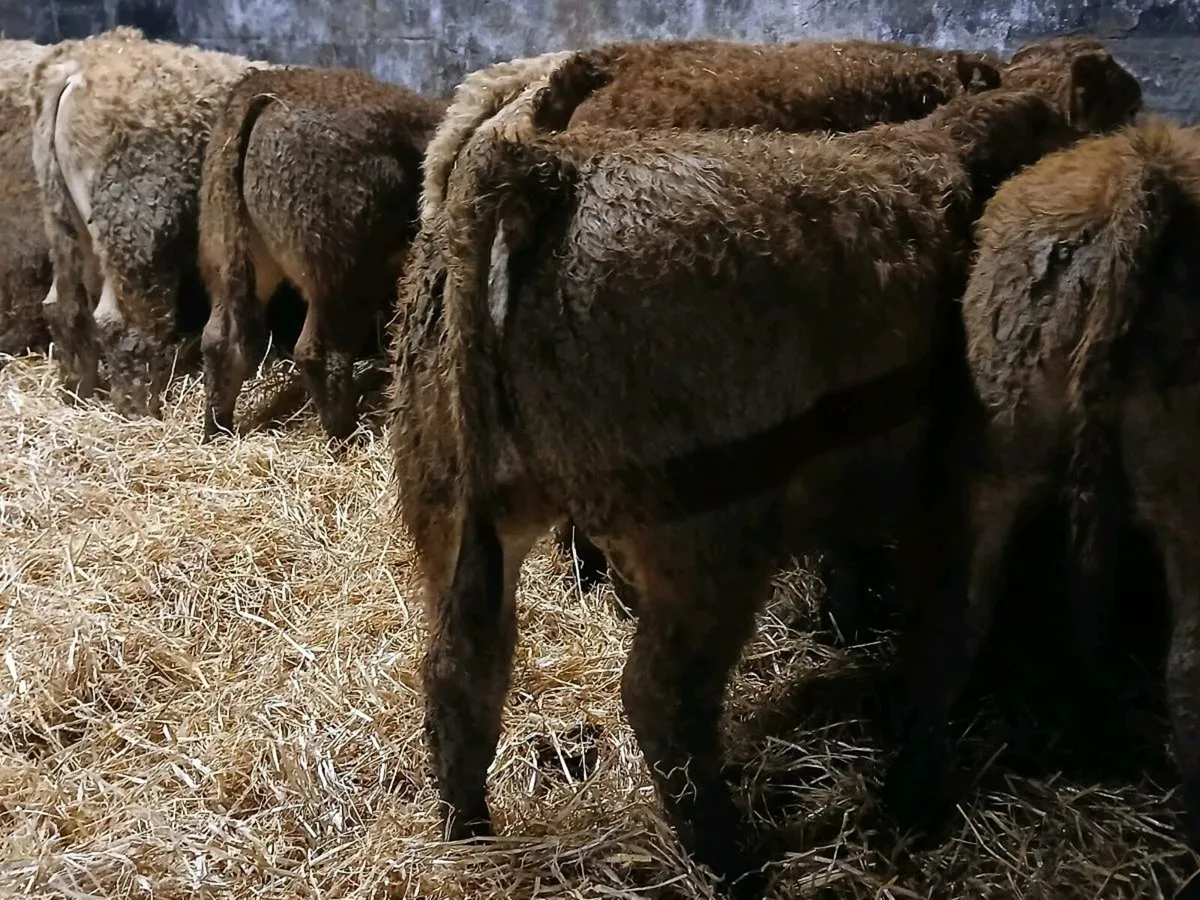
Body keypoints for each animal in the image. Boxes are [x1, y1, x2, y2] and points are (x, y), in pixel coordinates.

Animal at [28, 27, 267, 417]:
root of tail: (75, 70)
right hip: (137, 223)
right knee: (127, 324)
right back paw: (139, 408)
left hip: (65, 219)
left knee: (63, 306)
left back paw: (78, 391)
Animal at [197, 65, 447, 443]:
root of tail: (263, 92)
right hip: (343, 275)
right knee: (320, 354)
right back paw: (346, 433)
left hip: (231, 260)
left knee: (219, 342)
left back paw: (218, 429)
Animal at [389, 42, 1140, 896]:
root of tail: (541, 172)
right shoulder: (970, 490)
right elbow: (950, 633)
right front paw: (916, 795)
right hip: (706, 546)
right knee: (661, 705)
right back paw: (732, 859)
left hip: (453, 507)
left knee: (461, 673)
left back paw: (468, 835)